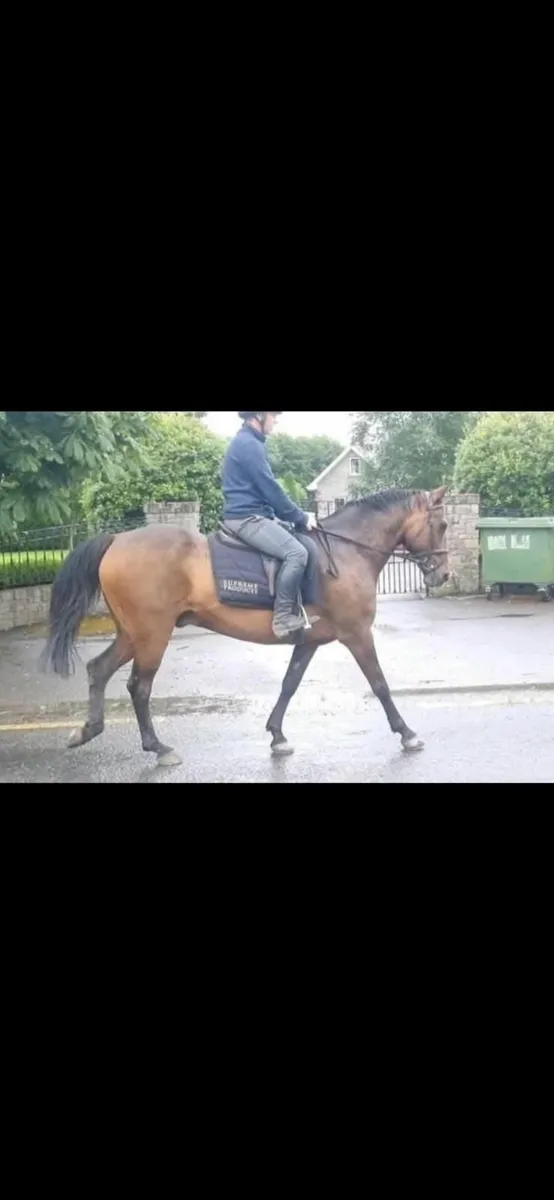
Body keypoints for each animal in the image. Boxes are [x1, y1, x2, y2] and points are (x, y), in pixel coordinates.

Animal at [40, 486, 450, 767]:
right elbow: (379, 684)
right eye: (443, 524)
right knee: (138, 688)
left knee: (99, 669)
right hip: (152, 635)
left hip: (132, 634)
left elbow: (289, 684)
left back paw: (88, 730)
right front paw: (407, 733)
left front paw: (277, 735)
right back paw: (159, 748)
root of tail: (116, 539)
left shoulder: (309, 640)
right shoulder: (357, 634)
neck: (347, 551)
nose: (444, 575)